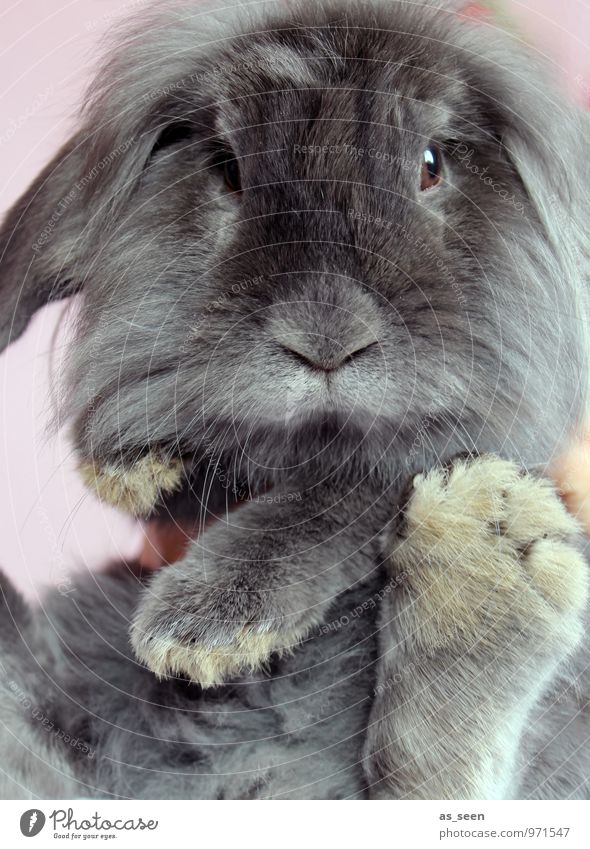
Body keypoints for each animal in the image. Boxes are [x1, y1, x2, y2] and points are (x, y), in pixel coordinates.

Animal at [1, 0, 590, 800]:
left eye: (431, 164)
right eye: (226, 168)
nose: (326, 338)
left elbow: (350, 489)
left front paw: (206, 622)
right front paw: (136, 466)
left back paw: (490, 557)